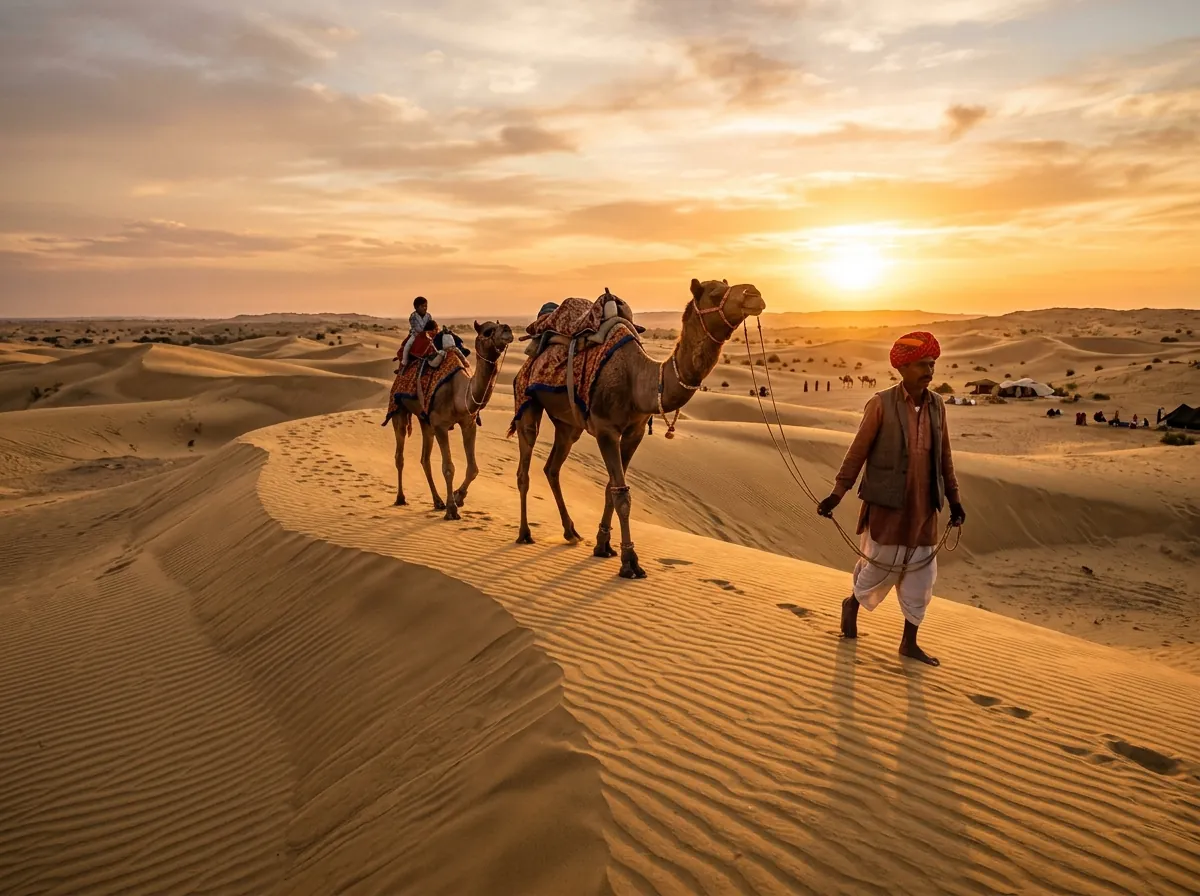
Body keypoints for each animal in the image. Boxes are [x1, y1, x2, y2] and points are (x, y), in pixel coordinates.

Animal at [391, 321, 514, 520]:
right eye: (488, 331)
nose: (508, 330)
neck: (459, 394)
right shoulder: (441, 425)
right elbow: (448, 468)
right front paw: (452, 509)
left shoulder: (468, 423)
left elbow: (473, 468)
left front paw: (458, 497)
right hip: (399, 410)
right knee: (399, 455)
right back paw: (401, 498)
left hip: (425, 420)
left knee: (424, 458)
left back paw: (437, 501)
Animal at [513, 278, 765, 578]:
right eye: (715, 293)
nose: (754, 293)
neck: (639, 380)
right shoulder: (606, 430)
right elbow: (622, 493)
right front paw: (629, 561)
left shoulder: (634, 432)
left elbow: (611, 487)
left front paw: (603, 545)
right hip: (527, 400)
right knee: (524, 467)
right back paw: (525, 533)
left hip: (567, 424)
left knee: (552, 467)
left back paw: (571, 531)